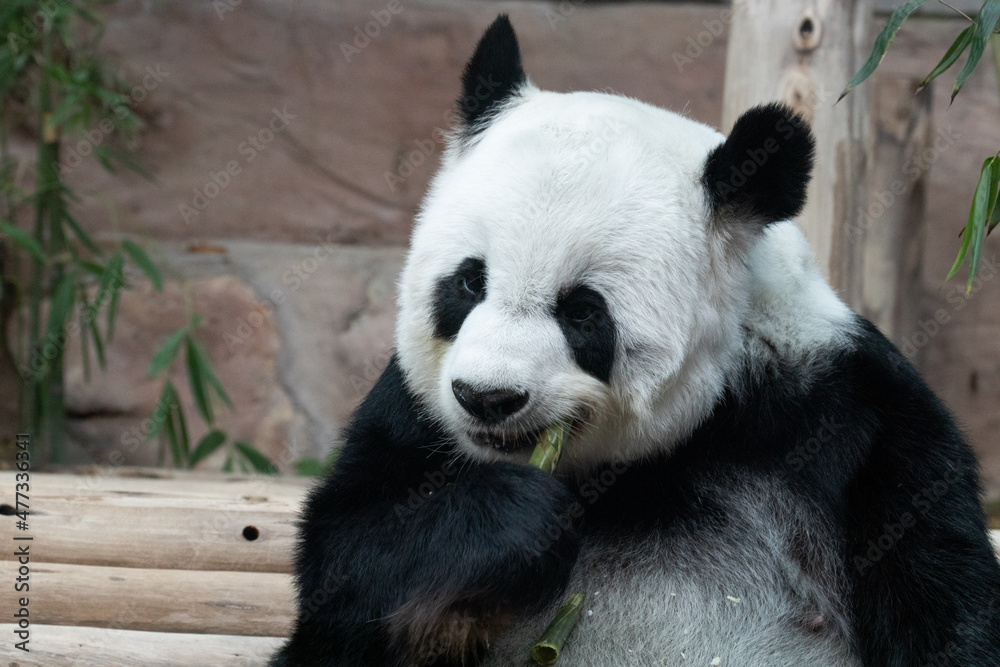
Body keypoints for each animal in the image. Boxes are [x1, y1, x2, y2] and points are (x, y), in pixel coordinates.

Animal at [272, 15, 1000, 667]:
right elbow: (345, 556)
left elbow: (945, 604)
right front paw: (517, 525)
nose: (487, 398)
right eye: (469, 282)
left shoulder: (850, 408)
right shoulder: (415, 409)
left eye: (583, 313)